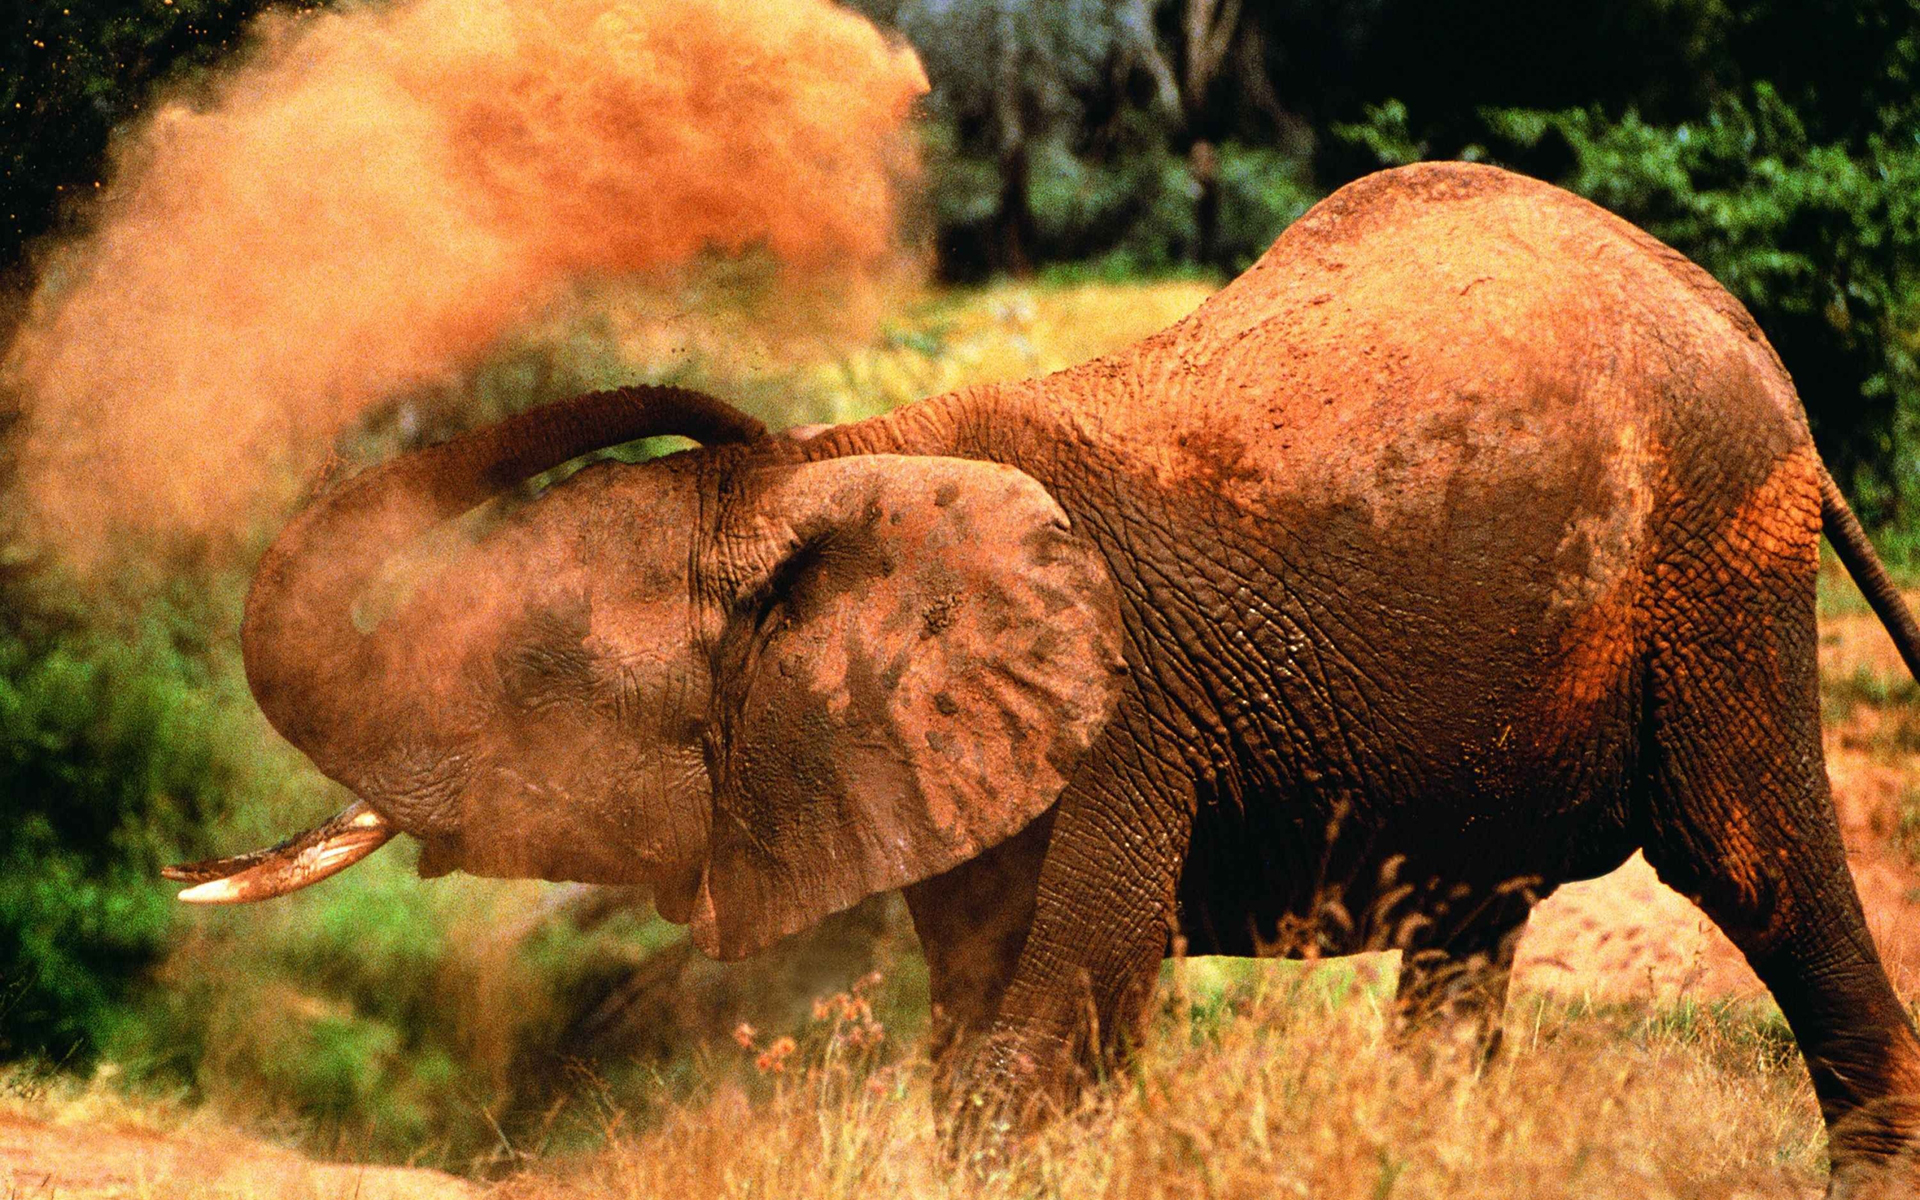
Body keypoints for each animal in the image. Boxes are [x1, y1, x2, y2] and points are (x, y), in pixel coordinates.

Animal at [168, 162, 1920, 1192]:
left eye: (519, 676)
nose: (725, 417)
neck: (857, 470)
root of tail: (1742, 327)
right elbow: (978, 1010)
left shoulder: (1122, 722)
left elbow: (1070, 992)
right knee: (1463, 934)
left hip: (1718, 572)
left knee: (1761, 871)